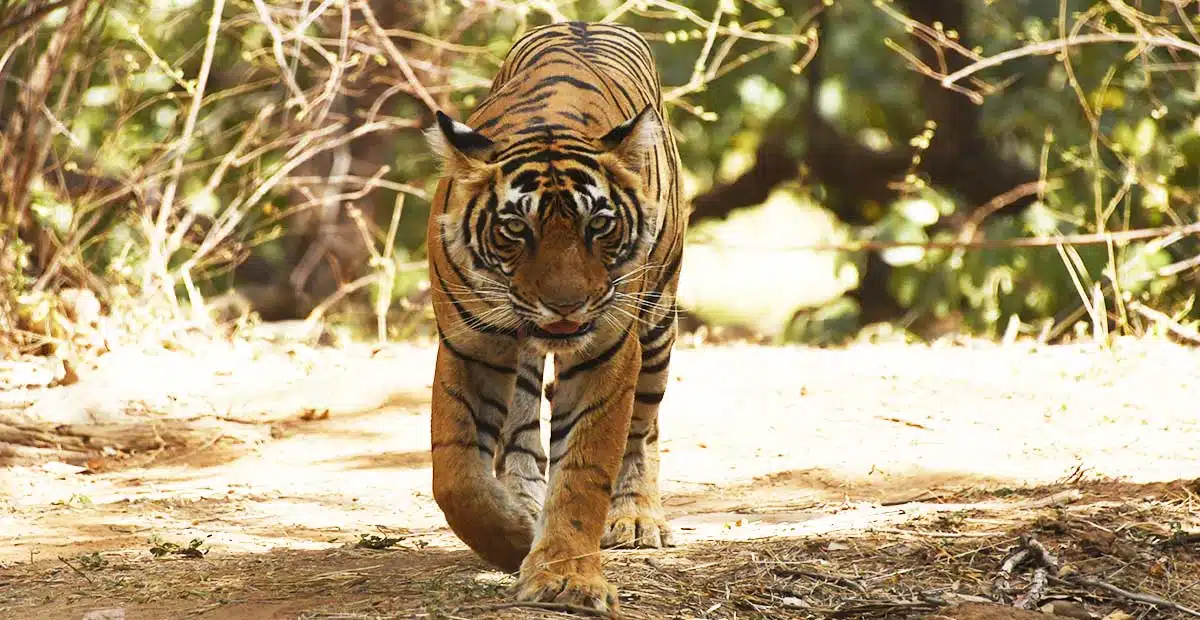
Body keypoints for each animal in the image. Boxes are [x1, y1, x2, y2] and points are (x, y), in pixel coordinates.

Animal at [423, 20, 686, 614]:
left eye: (600, 226)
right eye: (517, 230)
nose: (566, 306)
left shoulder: (607, 347)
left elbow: (584, 471)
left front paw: (566, 578)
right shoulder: (469, 343)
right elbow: (457, 477)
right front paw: (514, 538)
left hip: (658, 320)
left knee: (644, 429)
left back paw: (635, 516)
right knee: (521, 425)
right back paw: (523, 498)